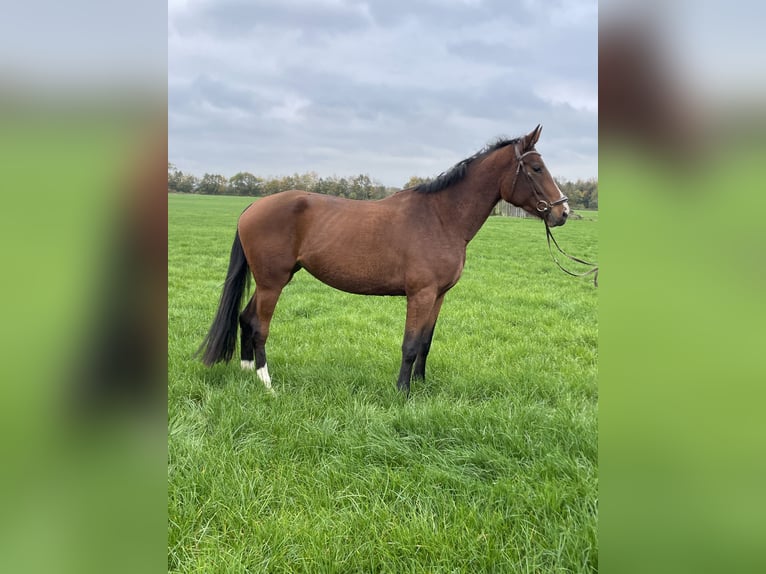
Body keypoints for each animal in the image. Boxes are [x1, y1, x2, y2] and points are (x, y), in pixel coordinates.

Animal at [198, 125, 568, 396]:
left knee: (246, 318)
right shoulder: (420, 294)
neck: (441, 218)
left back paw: (247, 372)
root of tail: (253, 206)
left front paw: (421, 386)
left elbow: (426, 342)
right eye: (537, 168)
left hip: (270, 281)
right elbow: (410, 344)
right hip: (272, 282)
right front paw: (403, 392)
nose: (562, 212)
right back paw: (266, 383)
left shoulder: (438, 295)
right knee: (260, 326)